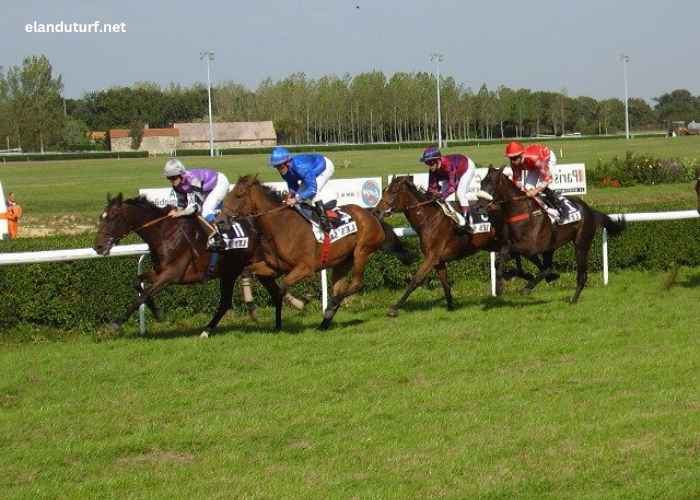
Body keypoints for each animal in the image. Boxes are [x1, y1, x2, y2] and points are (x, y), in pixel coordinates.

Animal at [90, 193, 300, 338]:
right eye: (101, 216)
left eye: (112, 216)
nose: (98, 246)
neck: (164, 233)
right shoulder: (159, 272)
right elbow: (137, 282)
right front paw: (158, 313)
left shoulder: (172, 275)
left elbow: (144, 295)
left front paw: (116, 323)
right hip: (229, 272)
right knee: (227, 302)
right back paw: (208, 330)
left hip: (256, 268)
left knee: (273, 294)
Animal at [213, 174, 410, 330]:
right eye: (228, 194)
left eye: (239, 195)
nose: (220, 221)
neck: (280, 226)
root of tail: (371, 215)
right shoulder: (273, 267)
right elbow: (247, 272)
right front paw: (252, 310)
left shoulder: (305, 268)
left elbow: (283, 286)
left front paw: (301, 302)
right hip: (342, 261)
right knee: (338, 289)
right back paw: (324, 322)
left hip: (361, 251)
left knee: (356, 284)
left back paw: (330, 308)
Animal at [372, 176, 548, 314]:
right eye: (384, 190)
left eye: (394, 191)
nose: (376, 212)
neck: (429, 219)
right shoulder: (438, 260)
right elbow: (446, 284)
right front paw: (450, 307)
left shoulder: (431, 257)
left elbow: (415, 281)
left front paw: (395, 308)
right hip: (500, 244)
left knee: (534, 258)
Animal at [476, 168, 624, 302]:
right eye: (481, 182)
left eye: (494, 183)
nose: (479, 207)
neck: (520, 211)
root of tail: (590, 210)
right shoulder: (522, 248)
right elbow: (498, 260)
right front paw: (514, 276)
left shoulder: (529, 247)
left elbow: (504, 251)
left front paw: (499, 286)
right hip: (550, 246)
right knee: (547, 268)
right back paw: (534, 285)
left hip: (581, 244)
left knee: (581, 275)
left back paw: (573, 300)